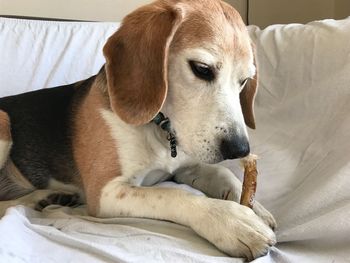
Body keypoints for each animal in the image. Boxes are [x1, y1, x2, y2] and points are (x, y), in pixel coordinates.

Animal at [0, 0, 276, 260]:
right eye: (202, 69)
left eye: (244, 81)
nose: (239, 149)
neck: (161, 130)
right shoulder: (107, 193)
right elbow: (174, 195)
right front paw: (230, 220)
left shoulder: (185, 167)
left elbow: (222, 173)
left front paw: (257, 208)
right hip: (3, 121)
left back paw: (47, 197)